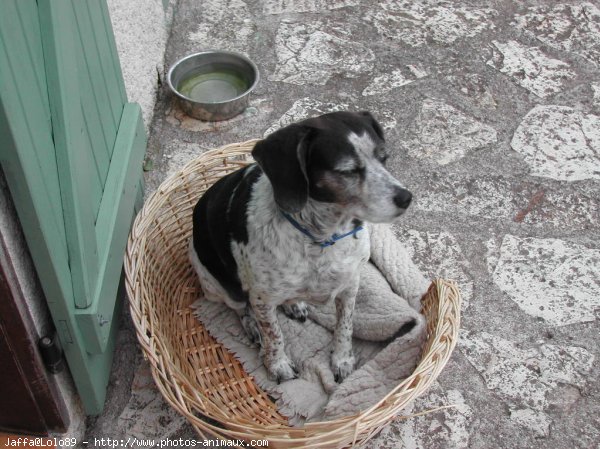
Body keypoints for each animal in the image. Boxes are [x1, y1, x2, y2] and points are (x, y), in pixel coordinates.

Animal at [189, 110, 412, 380]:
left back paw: (294, 305)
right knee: (240, 308)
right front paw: (278, 365)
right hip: (219, 287)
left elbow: (345, 326)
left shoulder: (350, 284)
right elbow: (274, 334)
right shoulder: (262, 299)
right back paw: (253, 327)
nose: (406, 198)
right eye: (347, 170)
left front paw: (342, 359)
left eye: (384, 158)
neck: (323, 236)